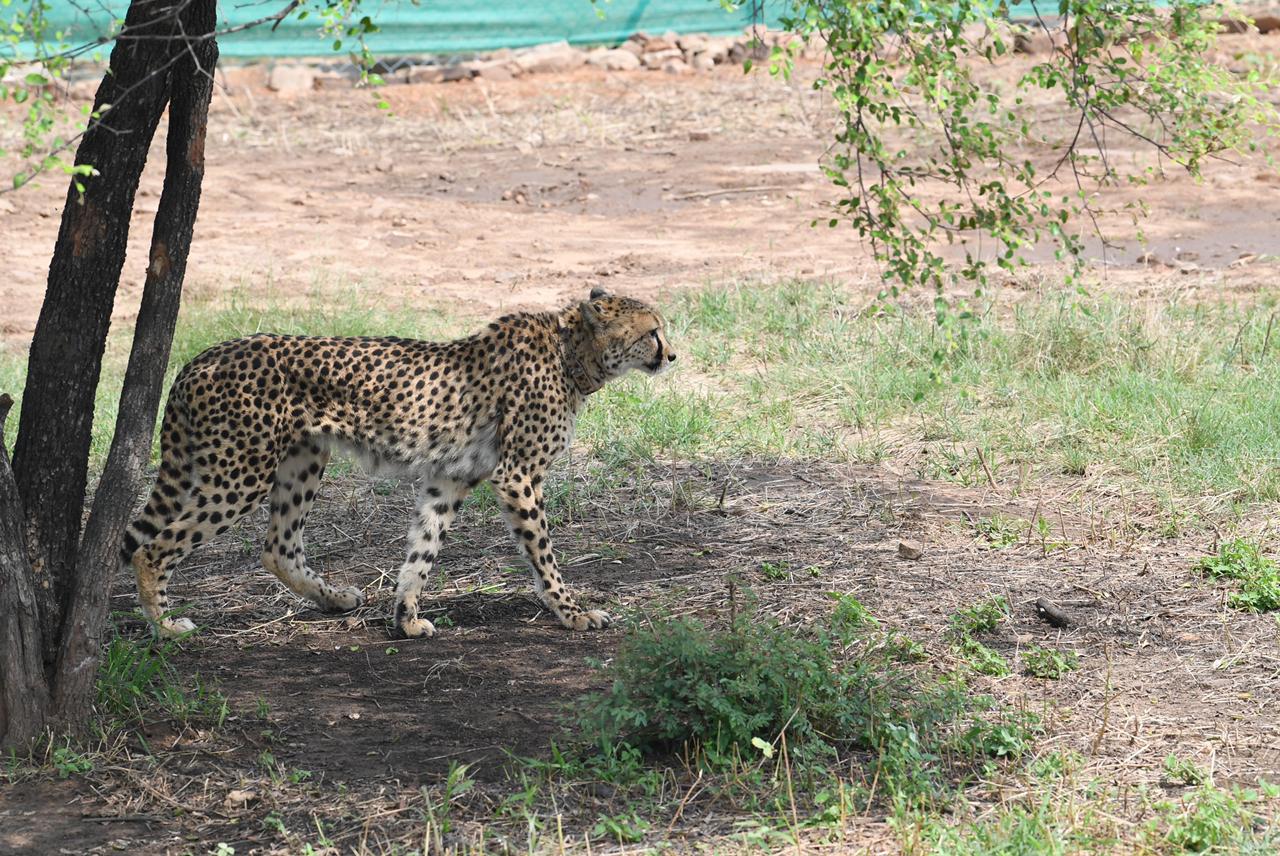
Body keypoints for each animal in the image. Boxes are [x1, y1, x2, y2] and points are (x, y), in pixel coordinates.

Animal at [122, 290, 680, 637]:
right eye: (653, 331)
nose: (672, 356)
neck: (571, 354)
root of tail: (199, 358)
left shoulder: (450, 477)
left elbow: (423, 551)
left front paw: (406, 618)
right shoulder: (517, 475)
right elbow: (544, 556)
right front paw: (572, 613)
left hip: (304, 458)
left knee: (277, 548)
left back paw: (335, 599)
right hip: (242, 471)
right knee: (151, 548)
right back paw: (166, 626)